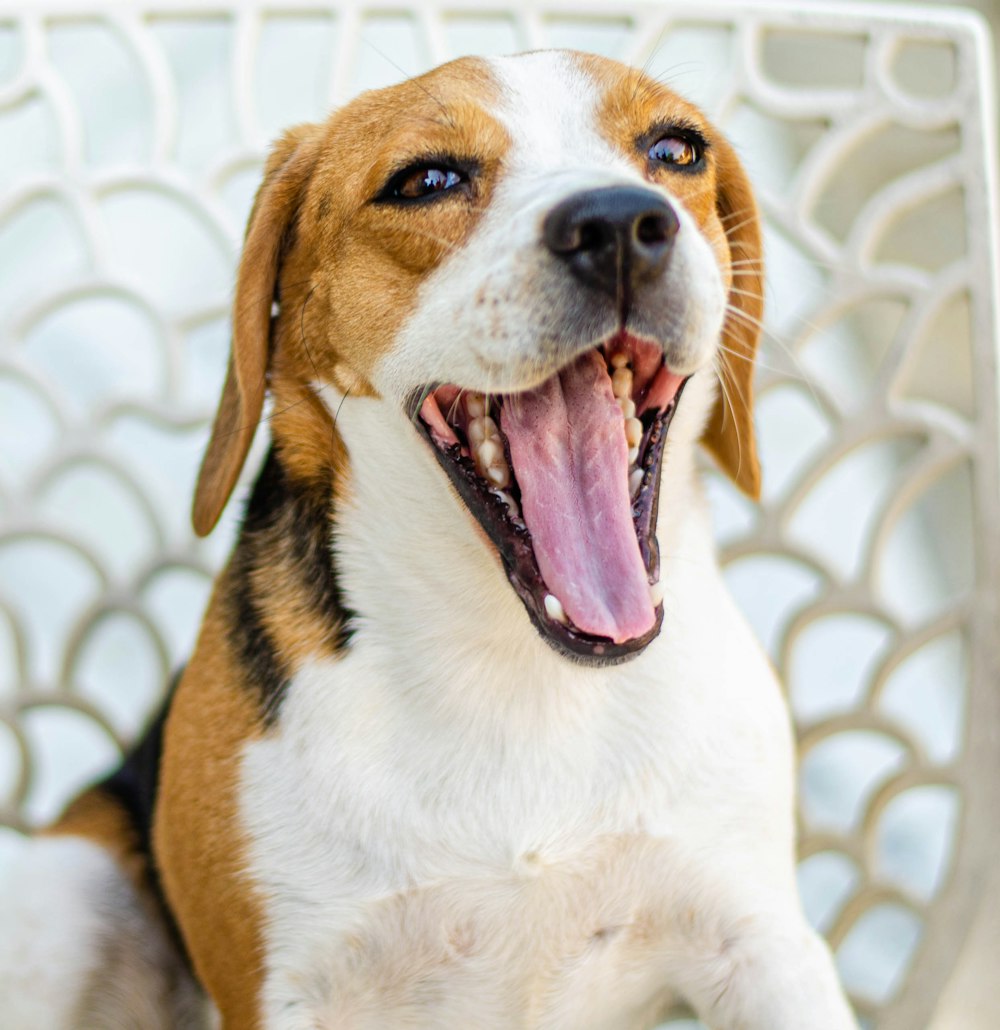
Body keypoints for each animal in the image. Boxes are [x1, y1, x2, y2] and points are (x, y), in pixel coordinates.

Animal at [0, 50, 860, 1030]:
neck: (520, 672)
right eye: (428, 181)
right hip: (67, 884)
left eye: (676, 149)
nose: (618, 223)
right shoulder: (282, 992)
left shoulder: (764, 945)